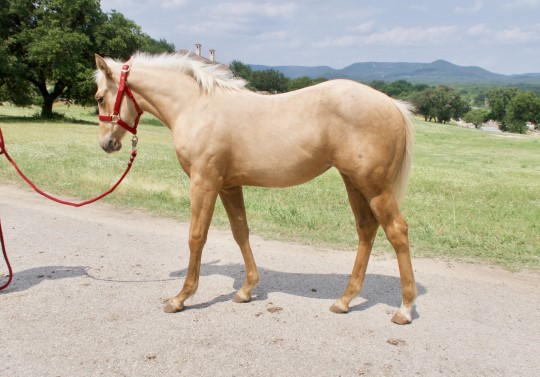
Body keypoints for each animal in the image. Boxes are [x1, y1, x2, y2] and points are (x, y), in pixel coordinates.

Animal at [94, 52, 418, 324]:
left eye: (98, 97)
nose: (106, 144)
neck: (196, 106)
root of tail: (393, 105)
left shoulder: (204, 183)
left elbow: (196, 237)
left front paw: (181, 297)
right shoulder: (229, 186)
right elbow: (241, 232)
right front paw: (247, 290)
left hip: (374, 187)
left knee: (397, 231)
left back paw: (404, 308)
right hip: (354, 183)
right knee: (366, 229)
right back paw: (345, 300)